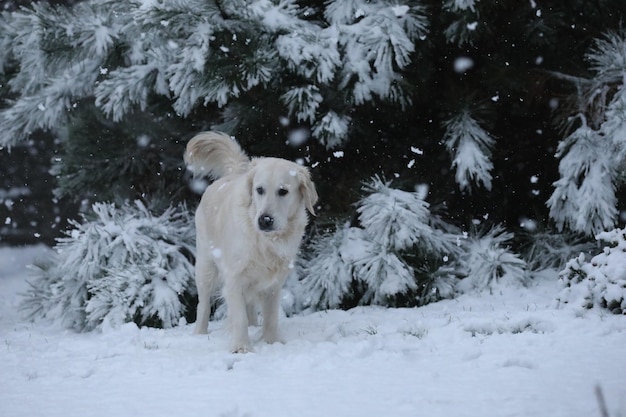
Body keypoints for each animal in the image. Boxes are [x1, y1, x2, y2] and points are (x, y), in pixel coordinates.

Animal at [183, 131, 314, 352]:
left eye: (283, 191)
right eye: (259, 189)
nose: (264, 220)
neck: (265, 240)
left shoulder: (274, 284)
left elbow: (271, 316)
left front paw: (271, 341)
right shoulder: (234, 278)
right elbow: (238, 318)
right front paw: (242, 347)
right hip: (205, 266)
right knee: (203, 304)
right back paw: (199, 333)